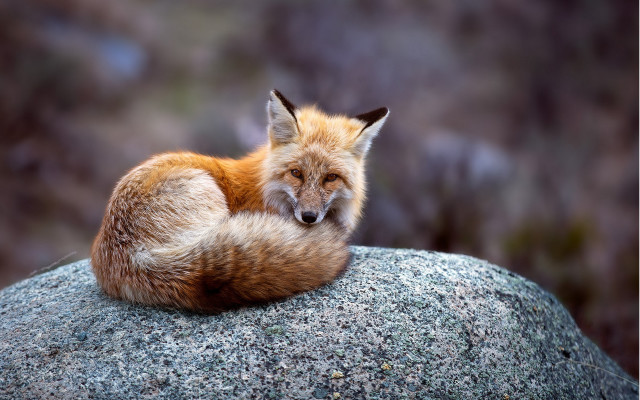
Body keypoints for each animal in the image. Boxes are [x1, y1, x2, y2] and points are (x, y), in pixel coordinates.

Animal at [91, 90, 388, 312]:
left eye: (331, 178)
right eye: (296, 173)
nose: (309, 217)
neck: (263, 189)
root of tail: (136, 259)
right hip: (208, 194)